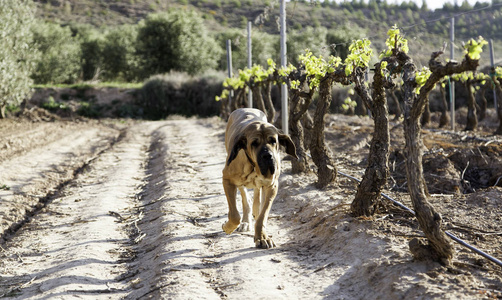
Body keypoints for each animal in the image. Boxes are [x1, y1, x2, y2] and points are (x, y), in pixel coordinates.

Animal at [222, 108, 296, 248]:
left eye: (273, 141)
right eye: (254, 143)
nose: (268, 156)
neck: (254, 166)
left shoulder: (271, 186)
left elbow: (263, 215)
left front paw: (262, 237)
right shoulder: (227, 180)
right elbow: (234, 215)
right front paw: (228, 227)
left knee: (256, 198)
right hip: (238, 182)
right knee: (246, 199)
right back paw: (246, 222)